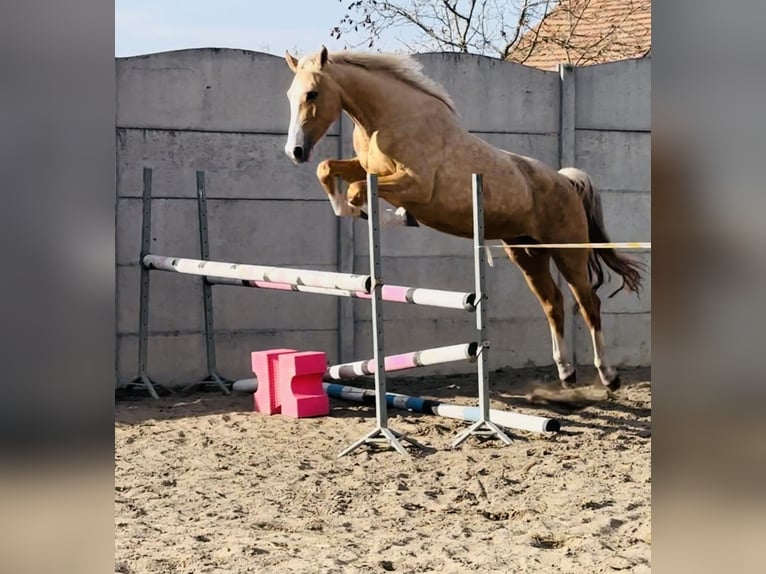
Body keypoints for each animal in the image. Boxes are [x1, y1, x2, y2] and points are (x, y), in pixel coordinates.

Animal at [282, 47, 640, 392]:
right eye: (290, 94)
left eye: (312, 93)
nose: (295, 152)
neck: (388, 118)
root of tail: (566, 181)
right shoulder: (368, 169)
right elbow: (328, 168)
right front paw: (359, 210)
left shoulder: (415, 185)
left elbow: (358, 190)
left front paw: (386, 215)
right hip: (527, 254)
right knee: (553, 303)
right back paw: (566, 373)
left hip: (567, 251)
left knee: (588, 303)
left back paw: (608, 376)